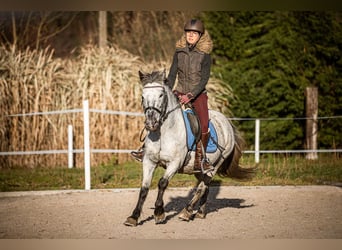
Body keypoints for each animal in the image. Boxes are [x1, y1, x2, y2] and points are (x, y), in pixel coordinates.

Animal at [124, 70, 255, 227]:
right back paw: (200, 212)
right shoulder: (149, 162)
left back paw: (186, 212)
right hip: (198, 169)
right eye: (143, 96)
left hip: (215, 165)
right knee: (206, 187)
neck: (164, 133)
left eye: (161, 95)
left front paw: (159, 213)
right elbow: (144, 188)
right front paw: (134, 217)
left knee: (201, 188)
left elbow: (162, 183)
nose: (151, 123)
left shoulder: (174, 163)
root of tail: (227, 122)